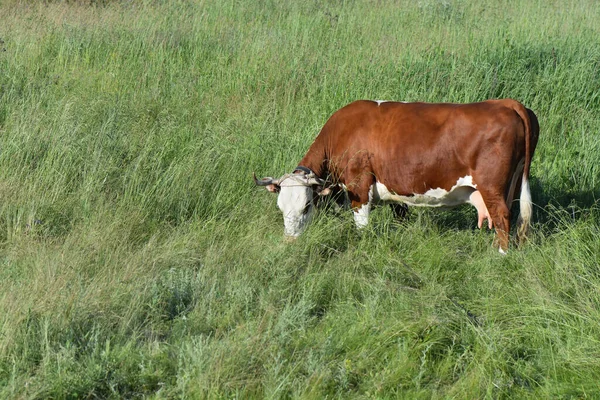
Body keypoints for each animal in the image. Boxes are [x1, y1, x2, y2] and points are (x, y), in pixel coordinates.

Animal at [253, 100, 540, 255]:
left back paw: (500, 255)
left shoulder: (359, 189)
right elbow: (400, 217)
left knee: (502, 216)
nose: (290, 241)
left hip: (492, 188)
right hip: (511, 185)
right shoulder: (397, 194)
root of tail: (505, 102)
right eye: (281, 208)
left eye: (306, 206)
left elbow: (362, 227)